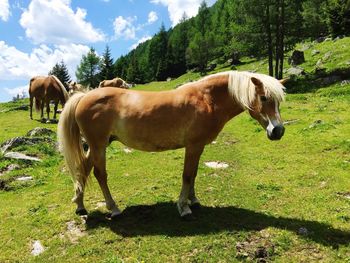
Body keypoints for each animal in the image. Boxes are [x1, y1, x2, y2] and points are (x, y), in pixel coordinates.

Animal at [58, 70, 288, 219]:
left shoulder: (198, 147)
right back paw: (113, 208)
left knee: (83, 169)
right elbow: (187, 175)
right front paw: (184, 207)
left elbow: (193, 174)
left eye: (279, 100)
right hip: (98, 146)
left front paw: (194, 201)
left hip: (97, 146)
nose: (278, 131)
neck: (207, 99)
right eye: (263, 97)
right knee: (100, 175)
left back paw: (80, 206)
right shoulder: (193, 145)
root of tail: (84, 97)